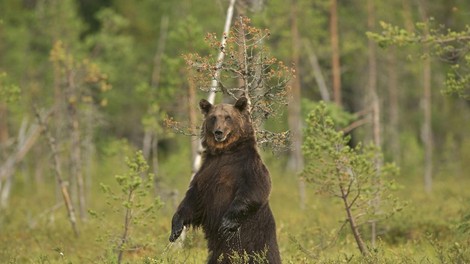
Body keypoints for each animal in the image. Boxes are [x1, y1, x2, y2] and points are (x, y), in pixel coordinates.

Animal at [169, 97, 280, 264]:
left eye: (228, 117)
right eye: (214, 117)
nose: (218, 132)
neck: (225, 151)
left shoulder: (248, 167)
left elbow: (256, 188)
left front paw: (226, 223)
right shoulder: (207, 171)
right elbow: (194, 199)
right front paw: (176, 228)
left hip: (258, 240)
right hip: (218, 251)